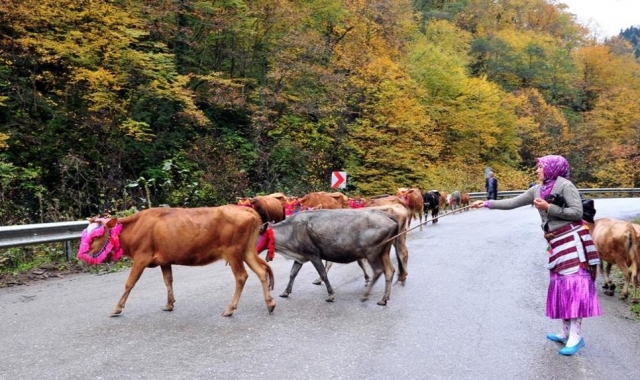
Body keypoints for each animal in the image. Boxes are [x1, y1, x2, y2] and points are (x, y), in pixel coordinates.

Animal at [76, 206, 276, 316]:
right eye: (84, 232)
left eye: (97, 235)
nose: (81, 255)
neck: (135, 227)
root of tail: (246, 209)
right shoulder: (165, 260)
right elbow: (168, 280)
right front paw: (169, 304)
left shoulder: (141, 257)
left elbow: (129, 283)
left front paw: (117, 308)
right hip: (247, 251)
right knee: (261, 271)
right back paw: (270, 304)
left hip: (233, 252)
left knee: (241, 277)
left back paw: (229, 309)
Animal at [256, 208, 400, 306]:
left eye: (256, 233)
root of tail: (387, 215)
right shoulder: (300, 256)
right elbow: (292, 273)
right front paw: (285, 292)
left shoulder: (313, 254)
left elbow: (323, 273)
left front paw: (331, 295)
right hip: (384, 252)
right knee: (390, 270)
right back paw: (383, 299)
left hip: (372, 253)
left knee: (378, 270)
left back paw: (366, 296)